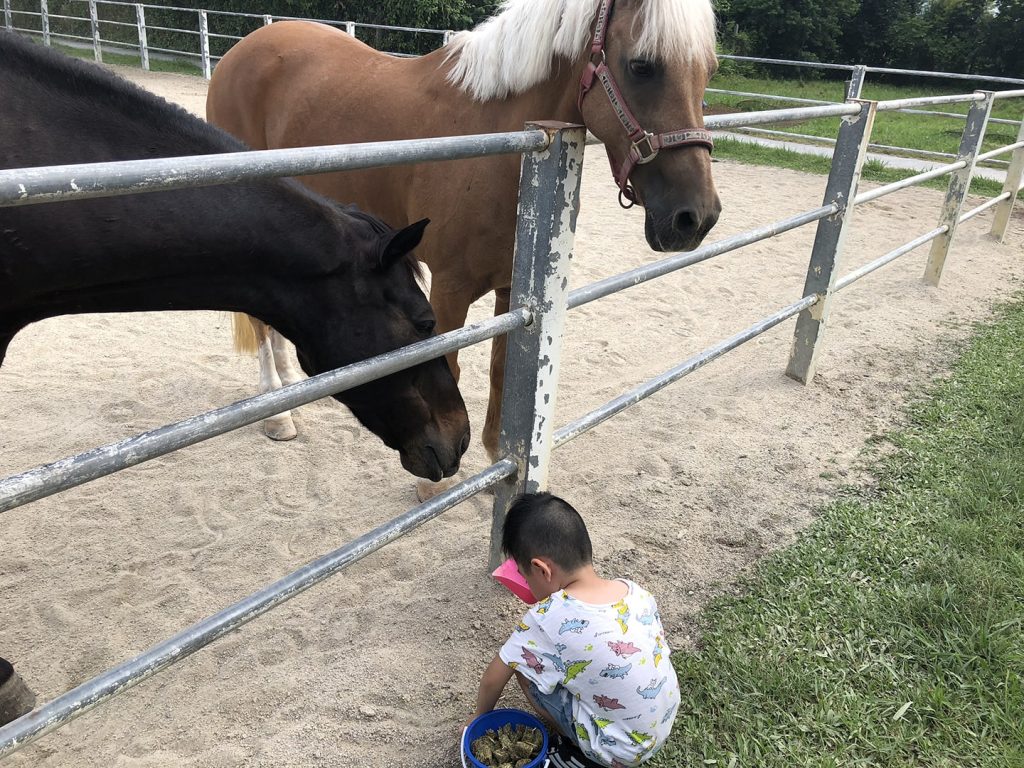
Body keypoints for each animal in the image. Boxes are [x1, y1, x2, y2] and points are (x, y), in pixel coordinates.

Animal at [207, 0, 720, 499]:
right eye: (641, 66)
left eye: (708, 70)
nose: (695, 218)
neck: (500, 143)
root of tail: (246, 47)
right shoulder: (449, 289)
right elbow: (447, 366)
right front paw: (434, 483)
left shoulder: (513, 289)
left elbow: (500, 368)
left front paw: (497, 465)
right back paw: (278, 415)